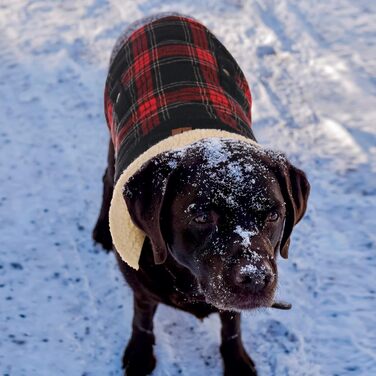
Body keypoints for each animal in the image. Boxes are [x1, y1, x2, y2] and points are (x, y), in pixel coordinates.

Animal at [92, 12, 310, 376]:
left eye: (273, 214)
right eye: (201, 215)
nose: (255, 278)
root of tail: (165, 14)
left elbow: (232, 323)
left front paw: (236, 360)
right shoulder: (141, 286)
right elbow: (142, 318)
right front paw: (140, 354)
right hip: (112, 138)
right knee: (107, 179)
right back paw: (100, 231)